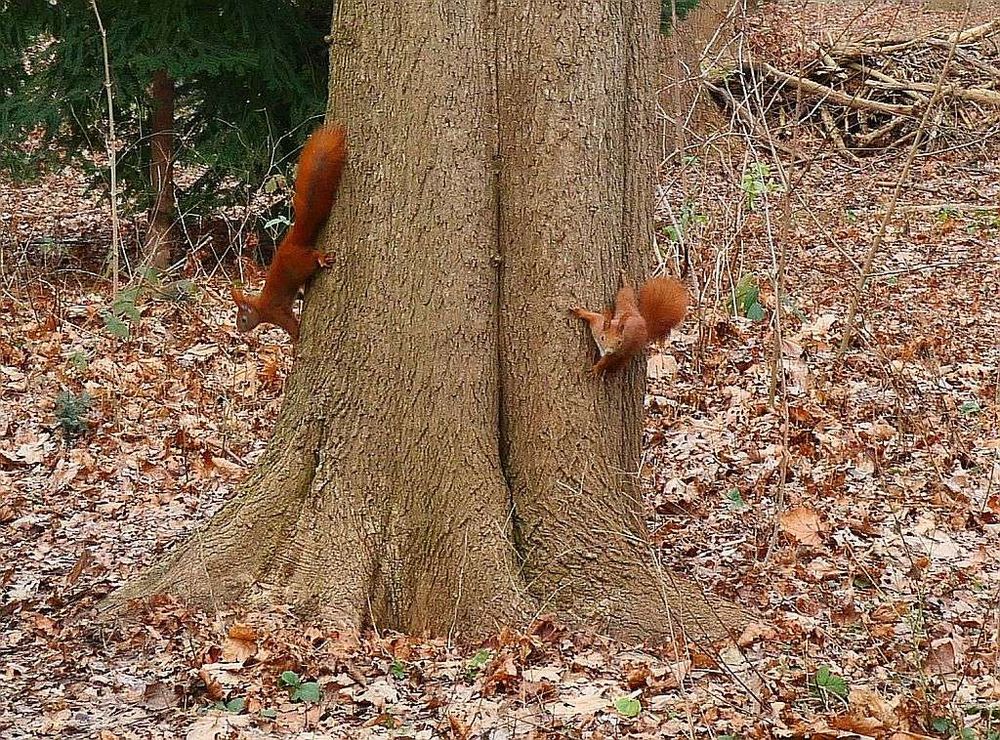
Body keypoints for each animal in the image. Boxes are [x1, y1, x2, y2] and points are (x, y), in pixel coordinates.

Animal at [230, 124, 347, 342]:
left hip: (301, 264)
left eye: (242, 319)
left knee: (313, 257)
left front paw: (295, 339)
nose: (239, 330)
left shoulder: (276, 313)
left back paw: (322, 258)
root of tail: (294, 243)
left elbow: (291, 325)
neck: (260, 307)